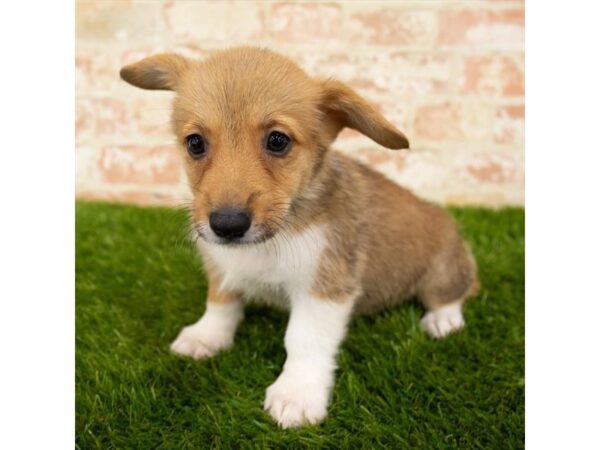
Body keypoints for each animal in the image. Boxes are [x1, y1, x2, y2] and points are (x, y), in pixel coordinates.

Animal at [120, 46, 478, 428]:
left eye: (278, 141)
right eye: (195, 143)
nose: (227, 225)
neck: (274, 238)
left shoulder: (323, 290)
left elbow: (304, 341)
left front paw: (297, 393)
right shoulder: (221, 267)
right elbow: (220, 304)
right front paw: (207, 337)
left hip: (443, 271)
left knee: (451, 294)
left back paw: (443, 319)